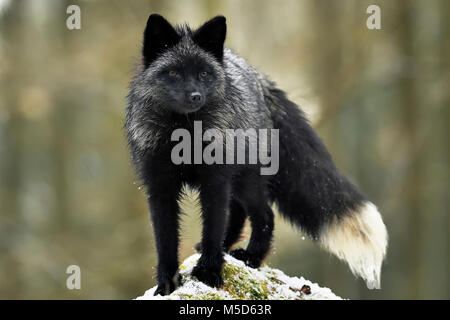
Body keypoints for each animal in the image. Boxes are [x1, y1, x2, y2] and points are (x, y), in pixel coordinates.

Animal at [125, 14, 386, 296]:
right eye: (173, 72)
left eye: (204, 73)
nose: (195, 96)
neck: (185, 135)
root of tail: (258, 79)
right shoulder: (160, 186)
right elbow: (165, 239)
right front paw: (168, 282)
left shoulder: (214, 180)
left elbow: (212, 229)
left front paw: (209, 272)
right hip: (237, 182)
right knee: (238, 213)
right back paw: (230, 248)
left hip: (246, 180)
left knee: (263, 214)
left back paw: (252, 257)